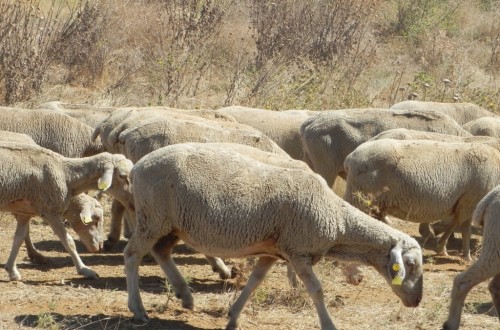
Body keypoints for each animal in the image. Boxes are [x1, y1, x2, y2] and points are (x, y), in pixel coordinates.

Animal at [0, 142, 134, 282]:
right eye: (122, 176)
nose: (99, 247)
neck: (66, 175)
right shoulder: (50, 212)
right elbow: (69, 242)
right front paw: (85, 270)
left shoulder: (25, 212)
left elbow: (18, 239)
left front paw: (12, 271)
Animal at [124, 142, 422, 330]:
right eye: (409, 264)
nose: (417, 301)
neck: (338, 221)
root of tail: (137, 166)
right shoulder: (299, 252)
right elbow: (317, 290)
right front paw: (329, 325)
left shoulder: (271, 252)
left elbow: (254, 282)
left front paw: (233, 317)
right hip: (152, 218)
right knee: (132, 255)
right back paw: (138, 309)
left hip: (172, 224)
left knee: (161, 251)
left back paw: (185, 296)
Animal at [342, 139, 500, 260]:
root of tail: (350, 158)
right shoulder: (470, 200)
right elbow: (465, 229)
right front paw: (467, 257)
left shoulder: (462, 203)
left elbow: (453, 224)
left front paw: (441, 248)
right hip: (359, 194)